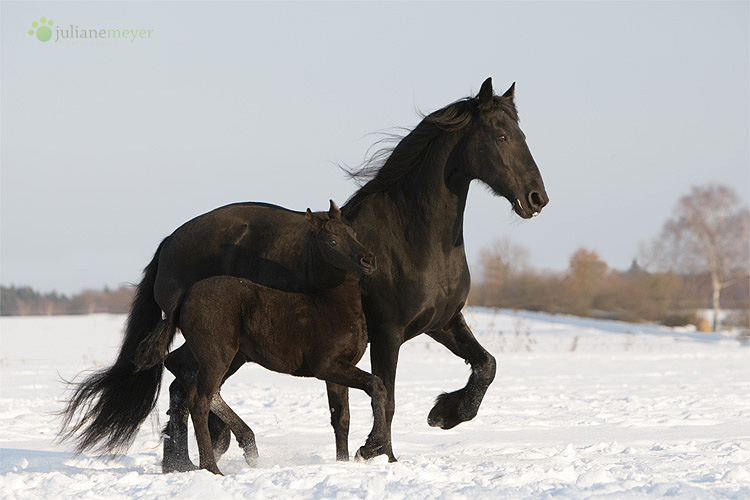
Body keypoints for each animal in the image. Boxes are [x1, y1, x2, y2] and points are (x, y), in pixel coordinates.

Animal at [133, 202, 388, 472]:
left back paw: (235, 450)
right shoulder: (327, 366)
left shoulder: (340, 368)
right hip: (217, 356)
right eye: (332, 241)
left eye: (354, 234)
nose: (368, 260)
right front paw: (370, 447)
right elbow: (375, 385)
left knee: (185, 373)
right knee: (199, 399)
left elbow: (343, 416)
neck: (331, 306)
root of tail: (186, 296)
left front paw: (349, 458)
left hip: (222, 355)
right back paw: (212, 467)